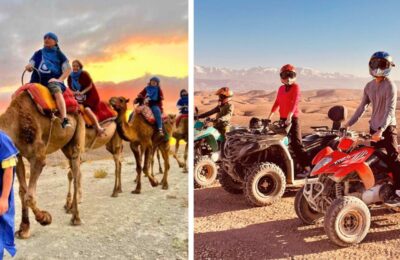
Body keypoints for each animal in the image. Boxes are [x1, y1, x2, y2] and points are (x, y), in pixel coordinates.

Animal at [1, 92, 85, 240]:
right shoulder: (16, 154)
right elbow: (22, 192)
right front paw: (24, 229)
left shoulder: (38, 156)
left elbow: (29, 196)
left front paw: (45, 218)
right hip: (65, 146)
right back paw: (69, 207)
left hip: (78, 131)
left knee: (76, 170)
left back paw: (76, 217)